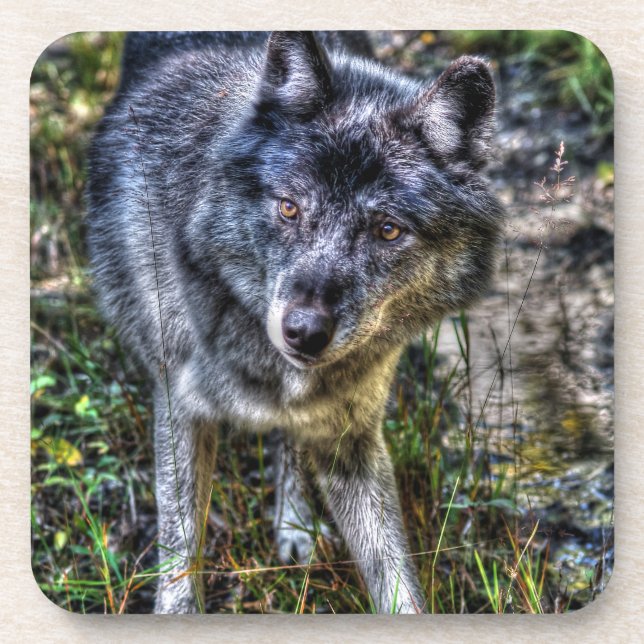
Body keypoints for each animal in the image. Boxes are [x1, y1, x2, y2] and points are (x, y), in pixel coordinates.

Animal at [87, 30, 503, 614]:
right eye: (289, 208)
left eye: (388, 230)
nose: (303, 331)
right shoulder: (180, 406)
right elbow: (181, 546)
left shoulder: (352, 436)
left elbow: (395, 576)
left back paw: (295, 526)